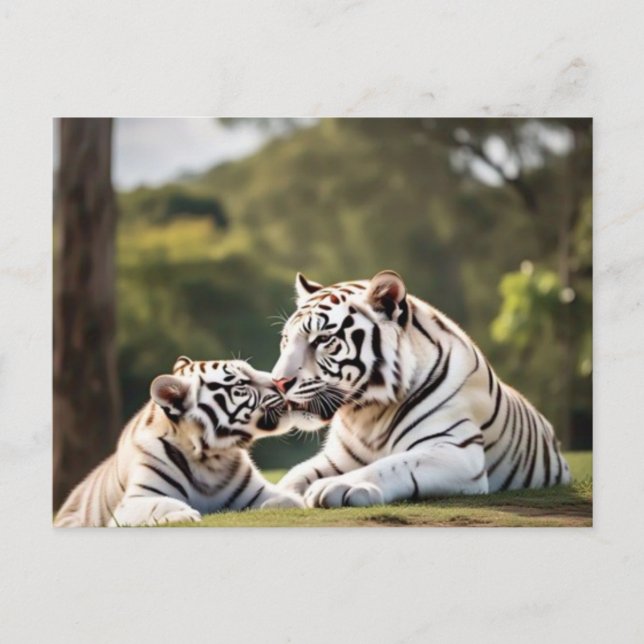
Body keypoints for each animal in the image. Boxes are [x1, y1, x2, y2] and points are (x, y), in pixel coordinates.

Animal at [54, 357, 303, 527]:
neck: (212, 458)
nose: (282, 382)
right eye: (242, 384)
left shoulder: (262, 492)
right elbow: (162, 503)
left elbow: (289, 501)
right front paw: (184, 514)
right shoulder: (131, 504)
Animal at [272, 270, 571, 508]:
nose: (277, 382)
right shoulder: (337, 458)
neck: (366, 414)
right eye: (286, 339)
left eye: (323, 339)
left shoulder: (457, 450)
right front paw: (280, 496)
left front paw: (339, 486)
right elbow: (296, 473)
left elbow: (392, 465)